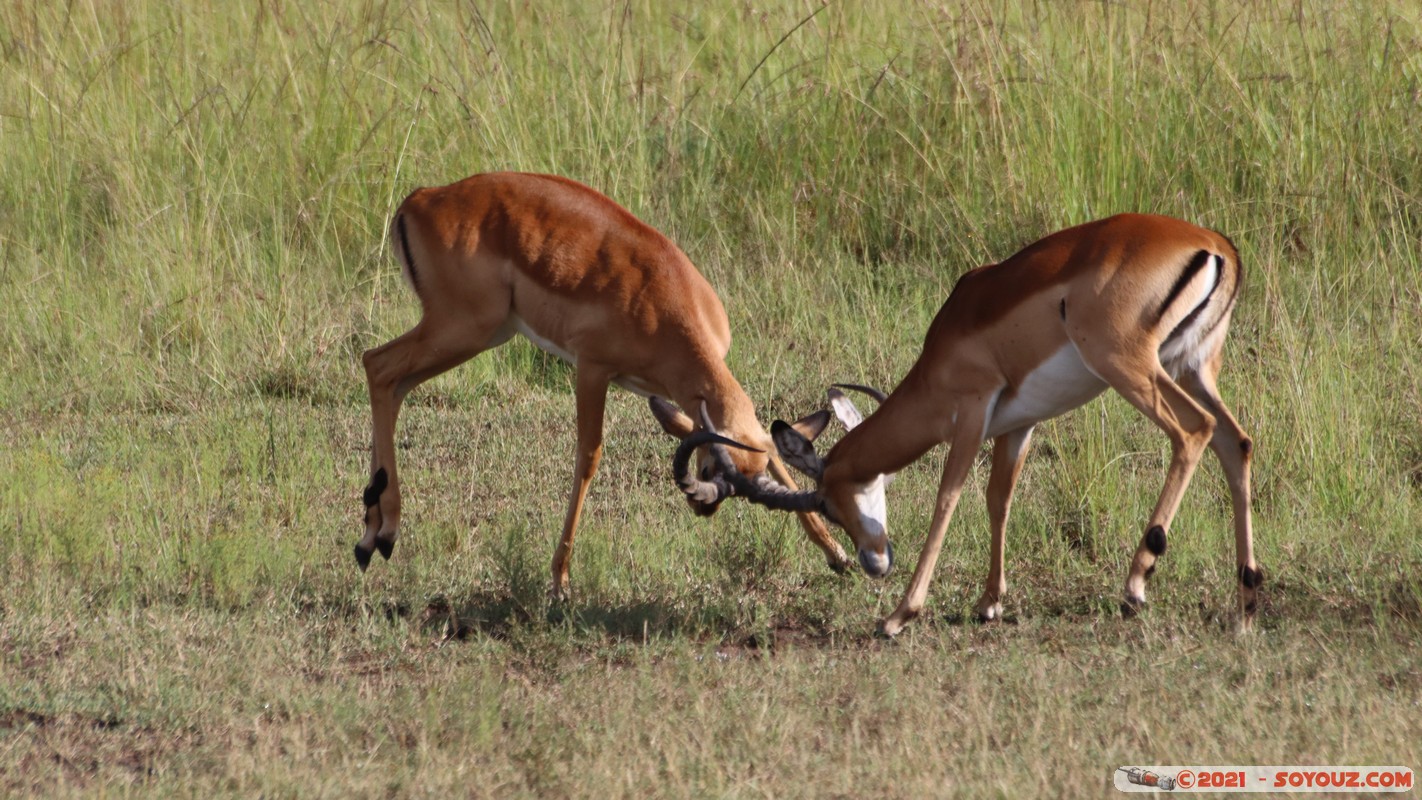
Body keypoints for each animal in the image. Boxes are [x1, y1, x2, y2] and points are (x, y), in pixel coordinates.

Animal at [357, 172, 852, 597]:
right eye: (711, 467)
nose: (703, 507)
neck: (666, 301)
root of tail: (422, 198)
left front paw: (837, 554)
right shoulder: (592, 369)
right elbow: (589, 456)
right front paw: (560, 579)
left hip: (479, 333)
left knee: (391, 382)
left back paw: (372, 533)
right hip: (463, 330)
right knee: (377, 365)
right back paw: (384, 532)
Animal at [689, 214, 1264, 636]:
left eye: (828, 504)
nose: (874, 564)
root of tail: (1216, 246)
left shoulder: (971, 412)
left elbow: (948, 498)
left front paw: (898, 616)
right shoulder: (1018, 425)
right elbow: (998, 499)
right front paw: (989, 604)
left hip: (1131, 366)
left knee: (1193, 431)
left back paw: (1137, 583)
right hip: (1193, 366)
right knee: (1235, 441)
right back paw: (1244, 604)